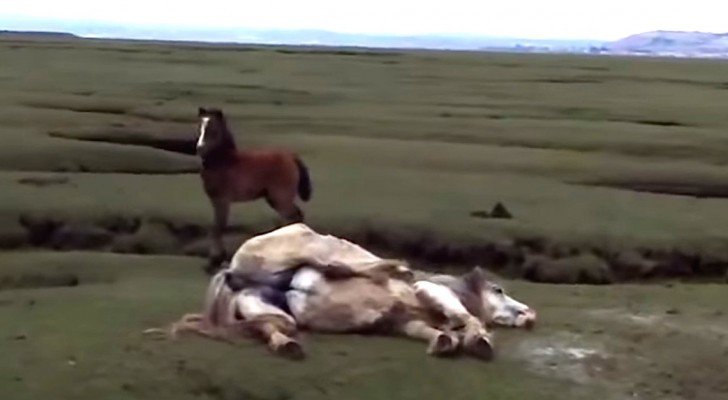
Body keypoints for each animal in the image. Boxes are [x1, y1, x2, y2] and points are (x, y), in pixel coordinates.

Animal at [195, 107, 313, 271]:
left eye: (213, 130)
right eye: (199, 127)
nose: (199, 148)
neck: (225, 161)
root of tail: (291, 157)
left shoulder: (223, 200)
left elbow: (218, 227)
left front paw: (215, 261)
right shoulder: (215, 200)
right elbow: (216, 227)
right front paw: (217, 259)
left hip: (281, 197)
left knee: (294, 216)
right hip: (274, 199)